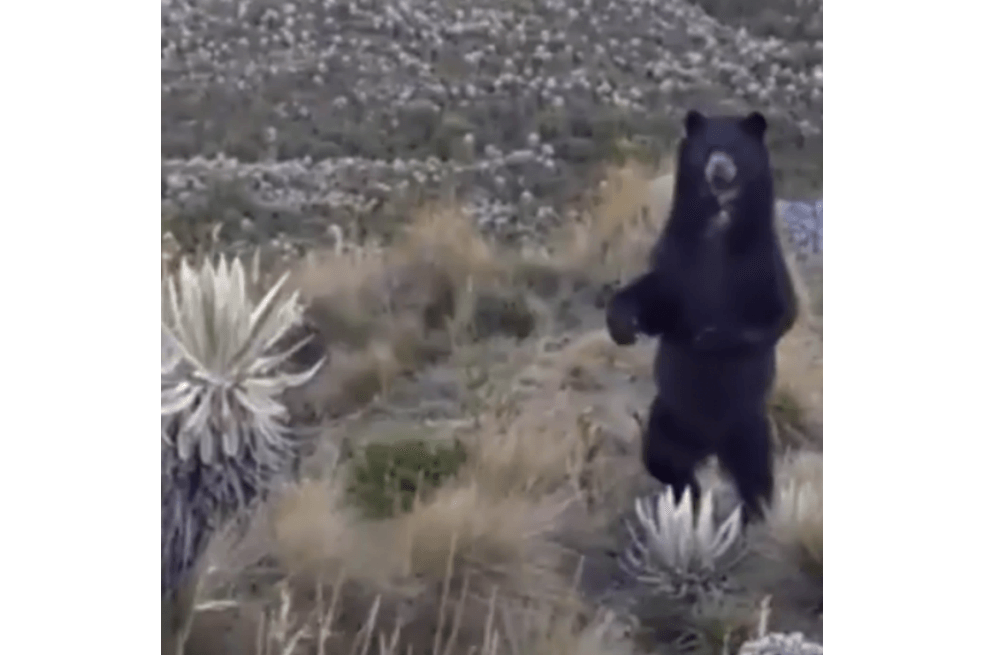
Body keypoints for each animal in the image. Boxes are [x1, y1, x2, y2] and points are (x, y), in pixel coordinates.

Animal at [605, 109, 798, 523]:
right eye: (707, 147)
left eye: (736, 147)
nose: (719, 168)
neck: (718, 228)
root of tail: (709, 448)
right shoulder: (678, 254)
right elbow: (658, 298)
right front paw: (623, 325)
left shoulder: (762, 262)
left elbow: (778, 314)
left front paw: (713, 336)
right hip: (668, 416)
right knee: (661, 459)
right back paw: (688, 497)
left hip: (749, 426)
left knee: (756, 476)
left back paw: (753, 515)